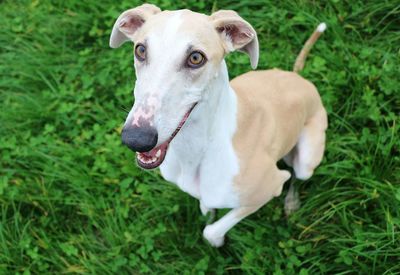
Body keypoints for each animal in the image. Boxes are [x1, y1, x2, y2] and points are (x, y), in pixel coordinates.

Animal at [110, 3, 328, 248]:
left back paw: (291, 202)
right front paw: (208, 210)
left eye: (196, 57)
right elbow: (206, 207)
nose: (136, 138)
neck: (196, 153)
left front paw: (217, 239)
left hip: (306, 160)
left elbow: (211, 231)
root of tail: (297, 76)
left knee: (297, 175)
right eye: (140, 50)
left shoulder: (272, 185)